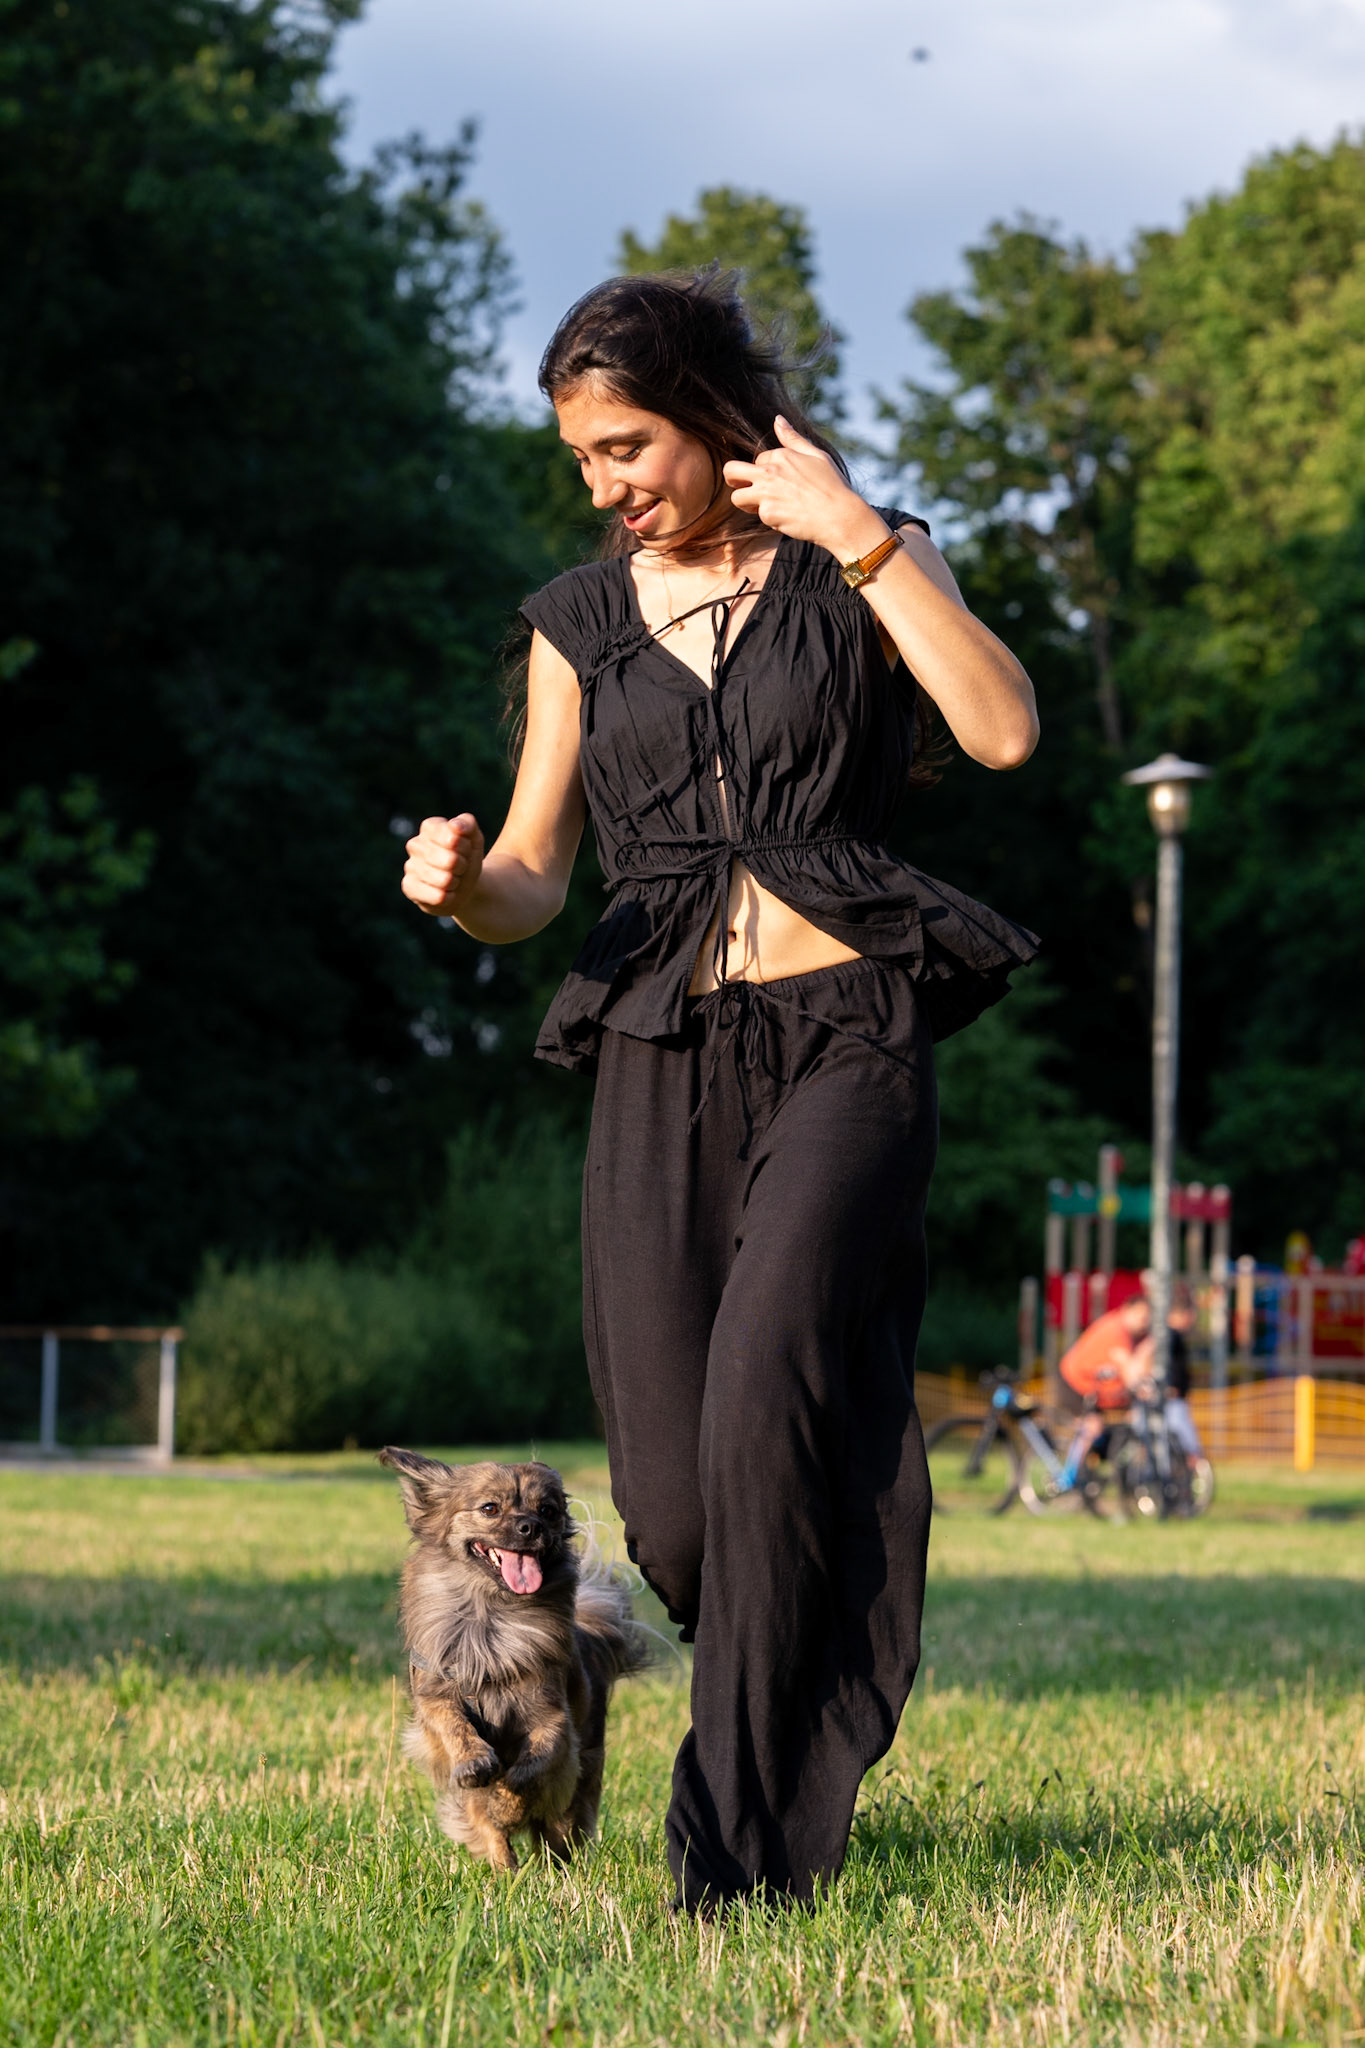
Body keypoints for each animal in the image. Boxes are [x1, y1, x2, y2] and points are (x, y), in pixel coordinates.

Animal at [378, 1447, 649, 1870]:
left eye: (549, 1511)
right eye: (490, 1508)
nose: (530, 1527)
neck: (492, 1619)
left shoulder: (552, 1720)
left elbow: (531, 1768)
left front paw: (507, 1804)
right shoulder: (435, 1698)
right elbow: (452, 1724)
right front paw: (475, 1763)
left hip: (579, 1784)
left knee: (558, 1830)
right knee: (486, 1828)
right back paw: (505, 1866)